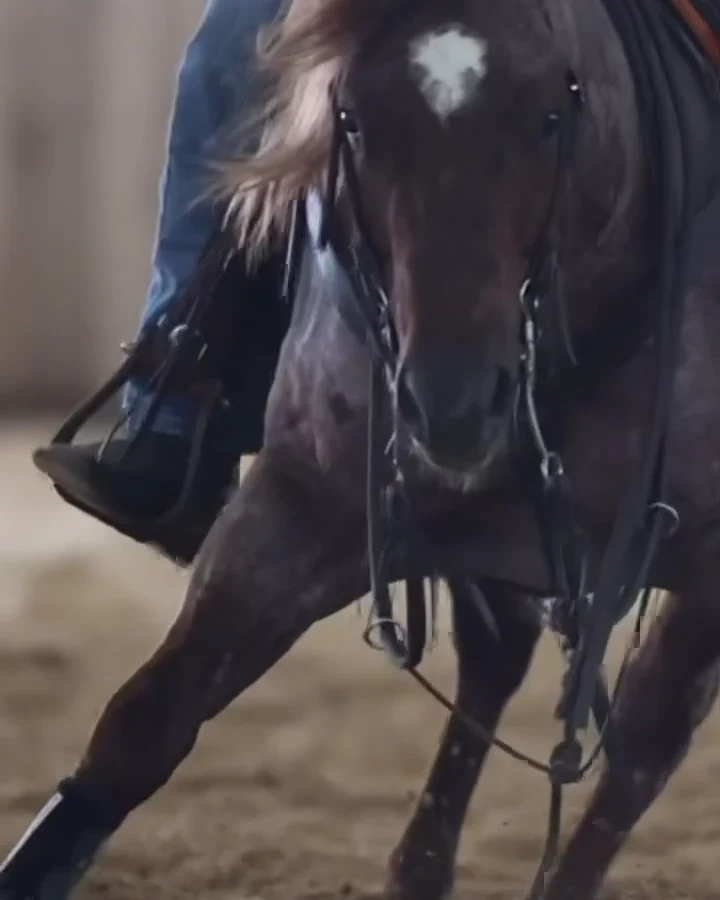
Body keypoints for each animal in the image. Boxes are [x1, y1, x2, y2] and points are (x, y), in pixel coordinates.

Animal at [4, 0, 720, 898]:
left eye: (550, 116)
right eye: (351, 120)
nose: (452, 404)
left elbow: (639, 758)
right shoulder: (297, 507)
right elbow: (144, 723)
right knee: (493, 661)